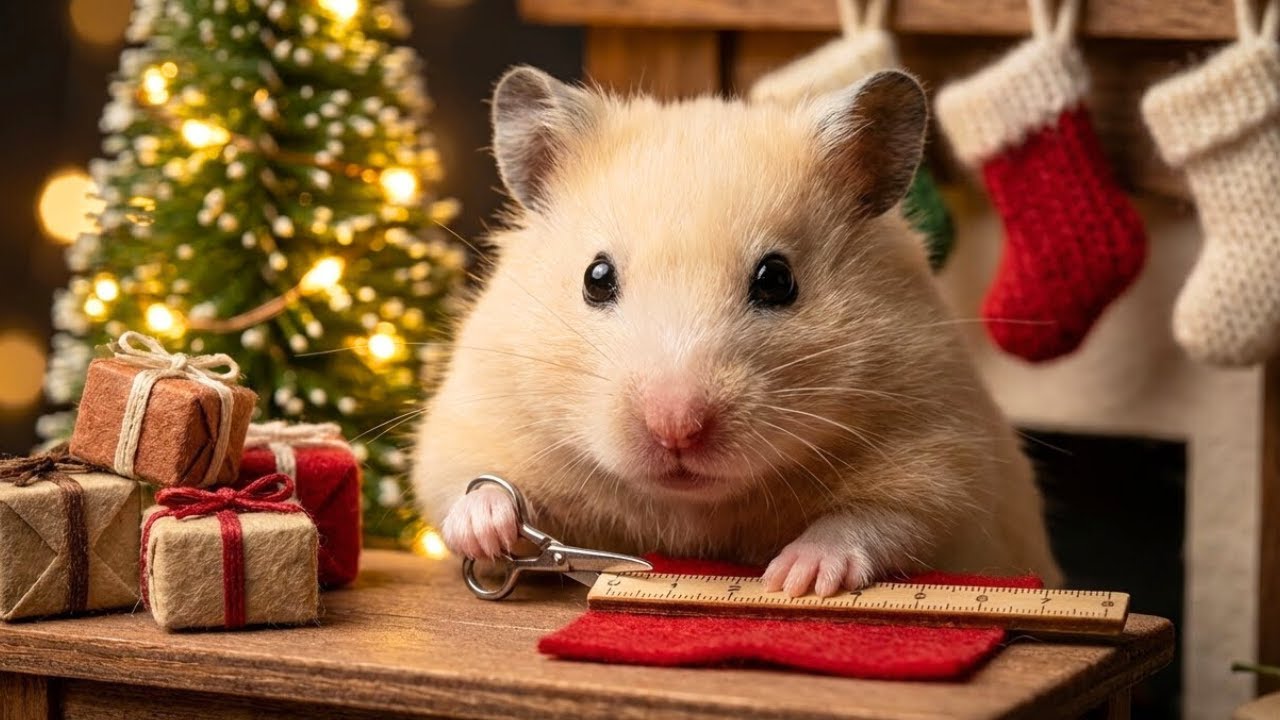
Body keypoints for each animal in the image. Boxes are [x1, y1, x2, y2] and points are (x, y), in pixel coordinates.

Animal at [411, 65, 1062, 597]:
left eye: (777, 280)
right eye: (596, 278)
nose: (676, 429)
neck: (689, 508)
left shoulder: (946, 460)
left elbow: (878, 519)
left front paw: (794, 576)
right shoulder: (474, 417)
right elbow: (462, 488)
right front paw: (488, 533)